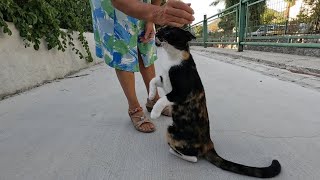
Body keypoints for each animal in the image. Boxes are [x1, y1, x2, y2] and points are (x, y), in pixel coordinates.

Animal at [149, 26, 282, 179]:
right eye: (161, 28)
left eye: (168, 32)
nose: (156, 33)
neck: (172, 58)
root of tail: (209, 144)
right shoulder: (164, 81)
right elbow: (153, 80)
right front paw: (151, 95)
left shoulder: (181, 92)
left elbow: (164, 98)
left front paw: (154, 112)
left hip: (172, 131)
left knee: (194, 158)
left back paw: (174, 151)